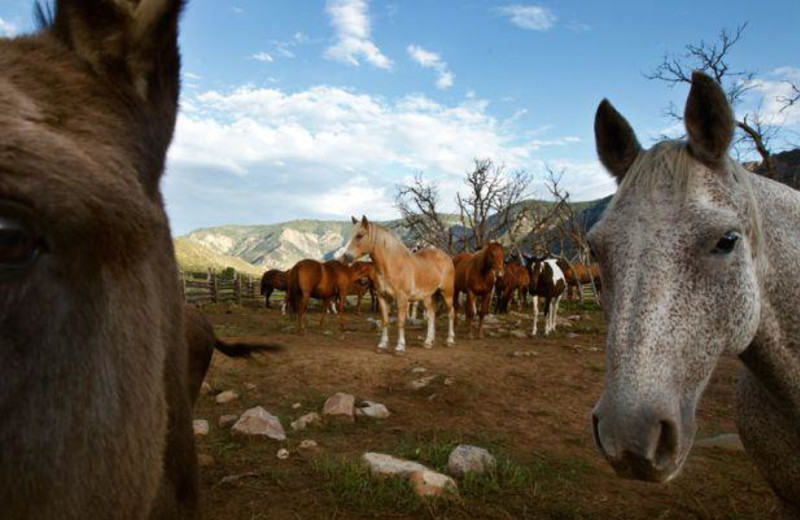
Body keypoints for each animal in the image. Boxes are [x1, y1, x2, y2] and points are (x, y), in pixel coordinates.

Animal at [342, 214, 456, 354]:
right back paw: (428, 342)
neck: (393, 265)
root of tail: (446, 256)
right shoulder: (382, 297)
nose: (346, 257)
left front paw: (400, 347)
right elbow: (385, 321)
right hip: (428, 296)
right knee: (431, 315)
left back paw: (450, 340)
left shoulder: (402, 298)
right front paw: (382, 345)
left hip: (447, 293)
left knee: (451, 313)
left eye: (360, 235)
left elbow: (401, 322)